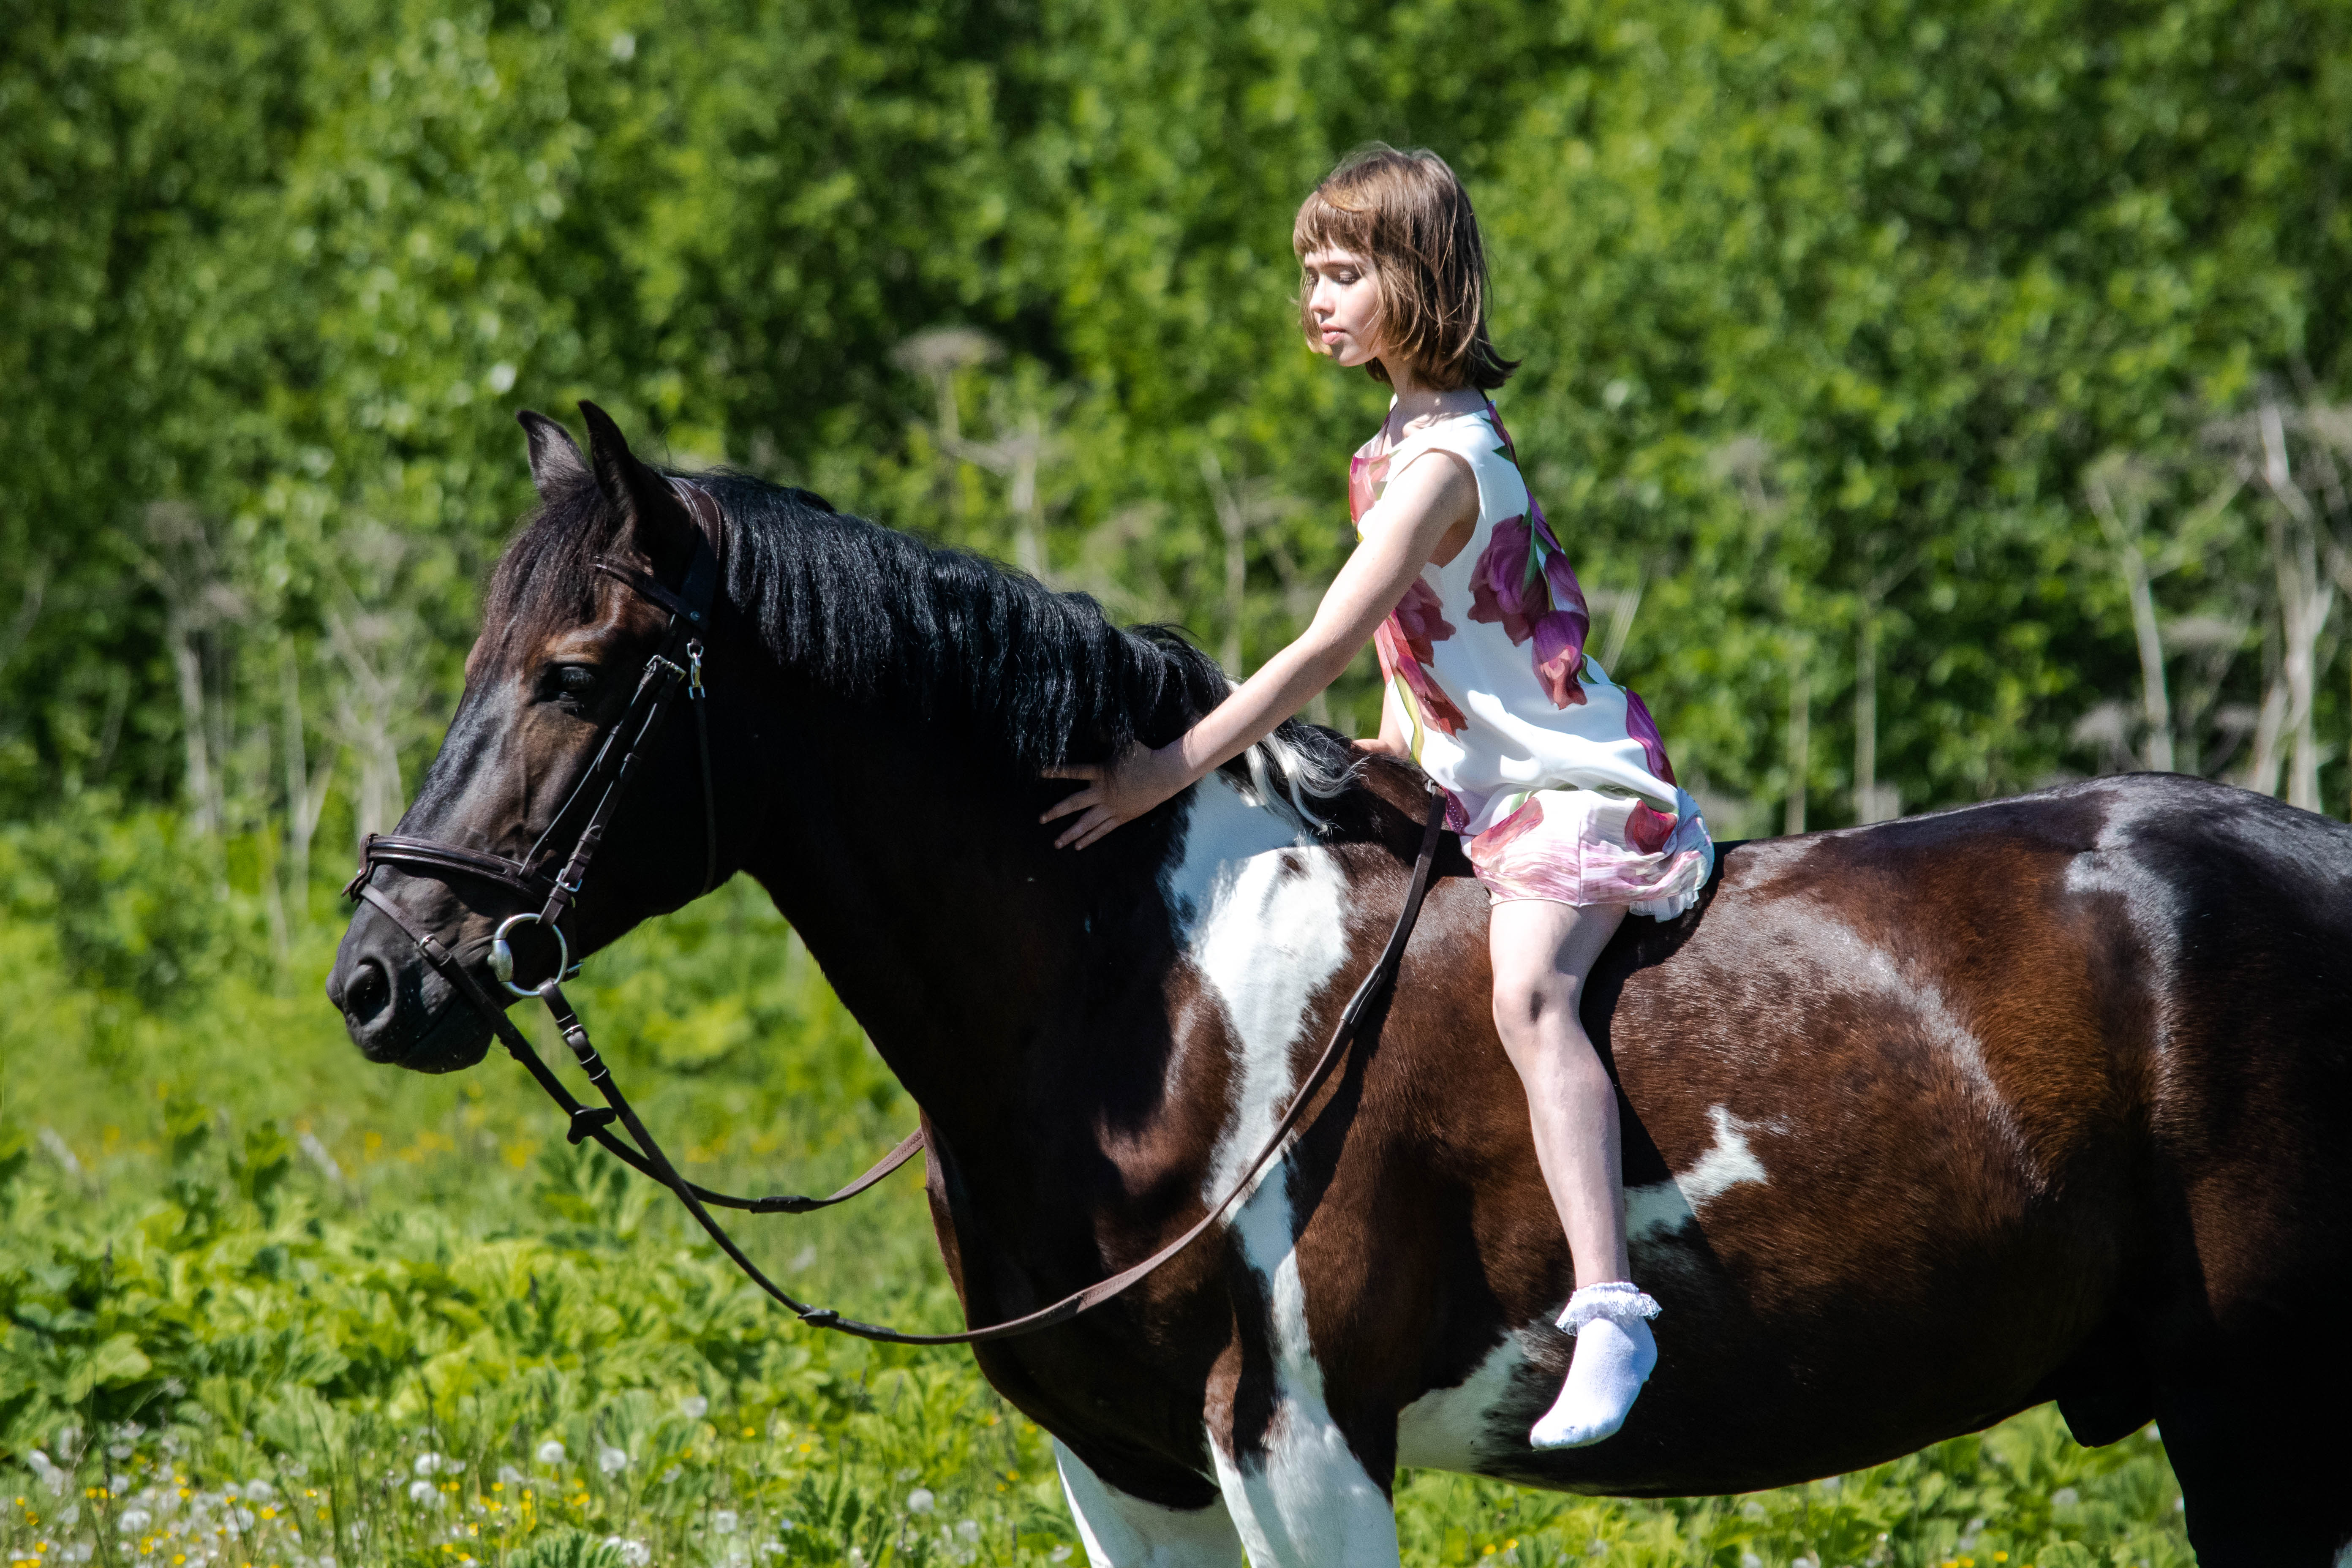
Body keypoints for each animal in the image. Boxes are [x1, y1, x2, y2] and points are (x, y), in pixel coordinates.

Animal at [327, 409, 2352, 1568]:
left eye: (581, 670)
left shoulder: (1299, 1450)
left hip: (2260, 1408)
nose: (380, 974)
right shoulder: (1127, 1471)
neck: (1143, 1004)